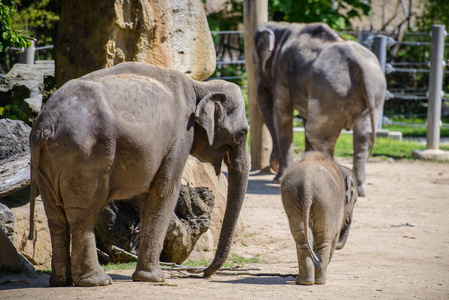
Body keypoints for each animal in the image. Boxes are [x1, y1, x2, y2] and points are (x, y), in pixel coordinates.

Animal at [28, 62, 250, 288]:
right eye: (242, 133)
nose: (203, 273)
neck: (201, 86)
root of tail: (45, 123)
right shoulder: (180, 136)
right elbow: (164, 192)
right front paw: (156, 278)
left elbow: (147, 196)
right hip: (85, 155)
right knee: (83, 214)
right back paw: (97, 281)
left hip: (47, 162)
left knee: (55, 217)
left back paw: (61, 281)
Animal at [254, 20, 386, 195]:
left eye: (254, 61)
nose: (273, 169)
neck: (282, 26)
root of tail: (359, 65)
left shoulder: (281, 70)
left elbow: (283, 116)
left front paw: (278, 180)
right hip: (374, 92)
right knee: (363, 137)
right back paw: (359, 190)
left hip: (330, 90)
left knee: (318, 135)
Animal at [280, 151, 356, 284]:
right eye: (355, 201)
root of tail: (307, 185)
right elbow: (334, 236)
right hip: (326, 201)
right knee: (324, 238)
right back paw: (320, 280)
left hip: (292, 198)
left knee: (302, 238)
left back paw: (304, 281)